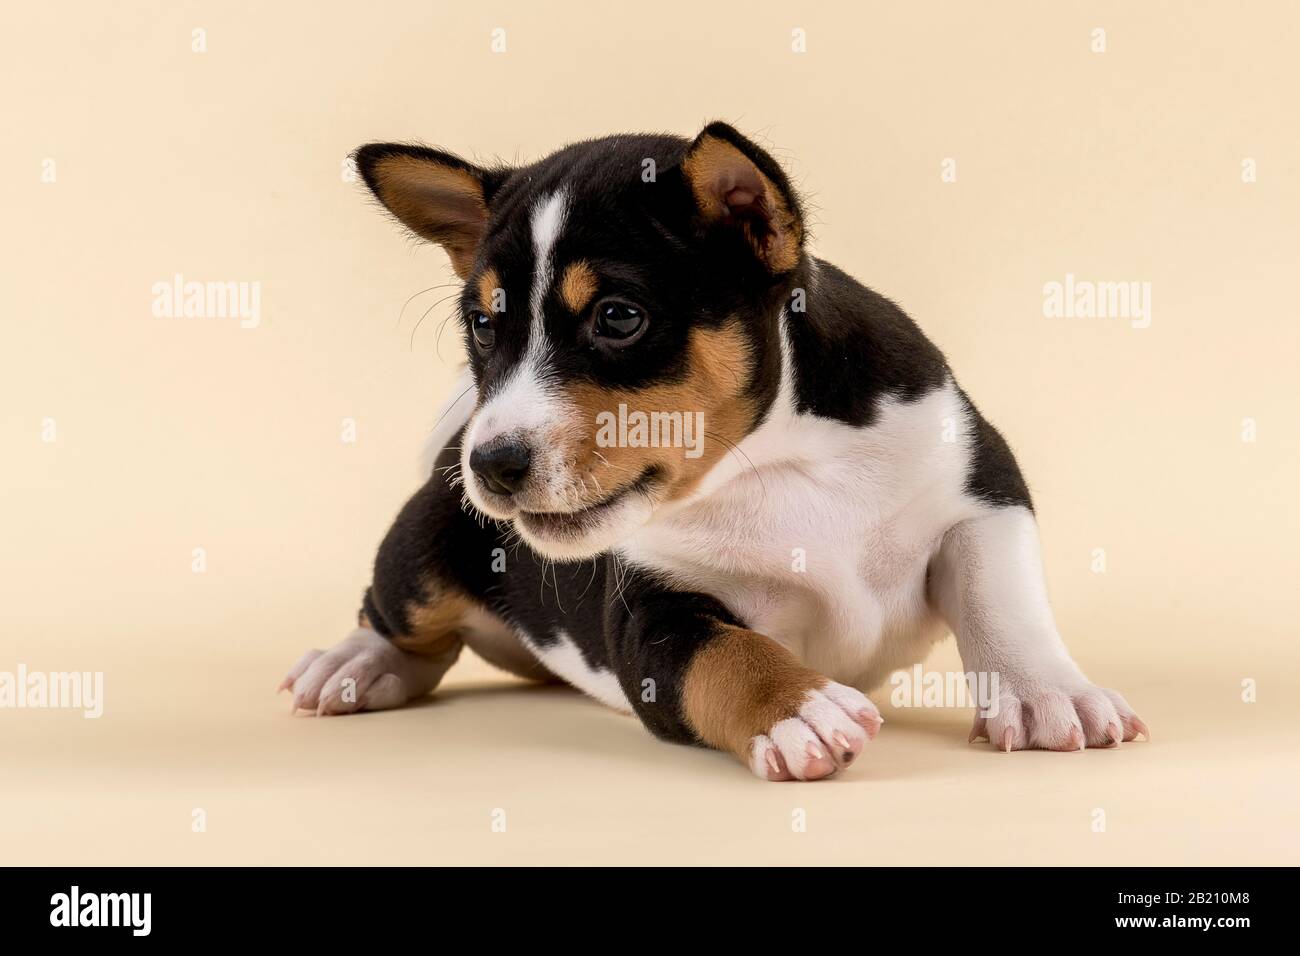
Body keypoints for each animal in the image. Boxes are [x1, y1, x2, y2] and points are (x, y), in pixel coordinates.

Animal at [276, 123, 1149, 780]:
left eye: (618, 317)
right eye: (485, 325)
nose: (489, 465)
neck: (777, 461)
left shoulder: (981, 489)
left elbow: (1003, 601)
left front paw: (1046, 694)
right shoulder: (651, 614)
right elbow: (726, 656)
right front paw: (799, 709)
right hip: (423, 547)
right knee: (402, 622)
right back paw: (356, 664)